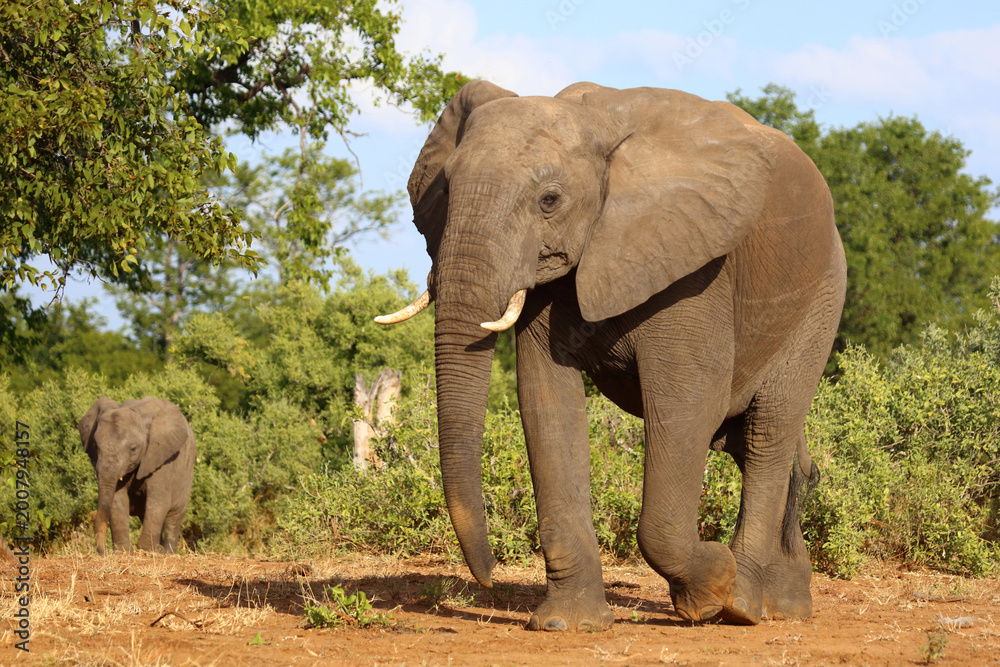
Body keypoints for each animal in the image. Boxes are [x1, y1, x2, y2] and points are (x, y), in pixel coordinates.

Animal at [77, 396, 196, 555]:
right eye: (96, 446)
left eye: (133, 448)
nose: (102, 552)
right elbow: (117, 500)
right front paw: (123, 551)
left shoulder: (161, 457)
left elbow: (158, 501)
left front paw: (149, 549)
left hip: (186, 472)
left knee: (174, 516)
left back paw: (167, 552)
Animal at [376, 80, 846, 631]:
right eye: (446, 191)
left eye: (550, 199)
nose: (488, 578)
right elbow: (546, 404)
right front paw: (567, 625)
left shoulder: (691, 266)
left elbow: (688, 405)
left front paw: (710, 588)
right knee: (752, 440)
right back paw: (786, 603)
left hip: (822, 299)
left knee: (767, 431)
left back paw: (744, 606)